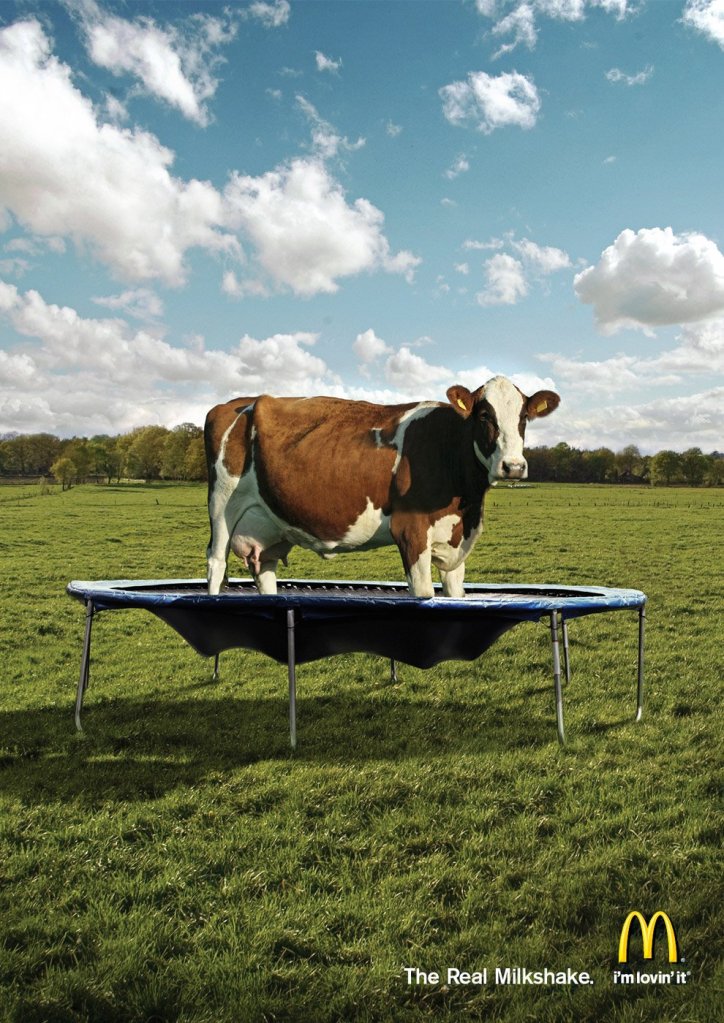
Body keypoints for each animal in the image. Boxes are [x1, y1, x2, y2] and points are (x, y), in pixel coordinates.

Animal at [204, 376, 560, 599]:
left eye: (524, 418)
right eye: (485, 416)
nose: (513, 466)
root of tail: (236, 404)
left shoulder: (456, 540)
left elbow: (455, 592)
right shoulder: (410, 531)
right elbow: (423, 593)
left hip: (268, 526)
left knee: (265, 570)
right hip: (222, 506)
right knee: (216, 562)